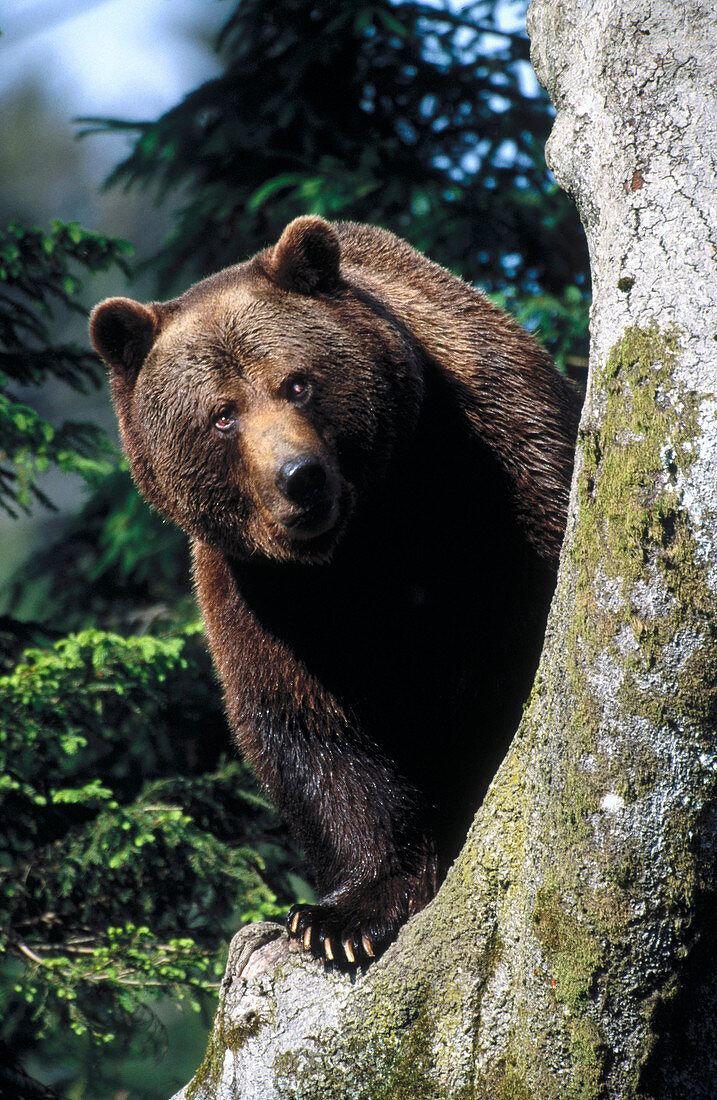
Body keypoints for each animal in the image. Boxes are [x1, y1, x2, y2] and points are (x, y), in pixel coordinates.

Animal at [91, 218, 580, 968]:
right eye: (221, 415)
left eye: (298, 383)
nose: (300, 477)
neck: (365, 539)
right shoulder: (261, 595)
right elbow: (311, 733)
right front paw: (342, 917)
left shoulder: (505, 472)